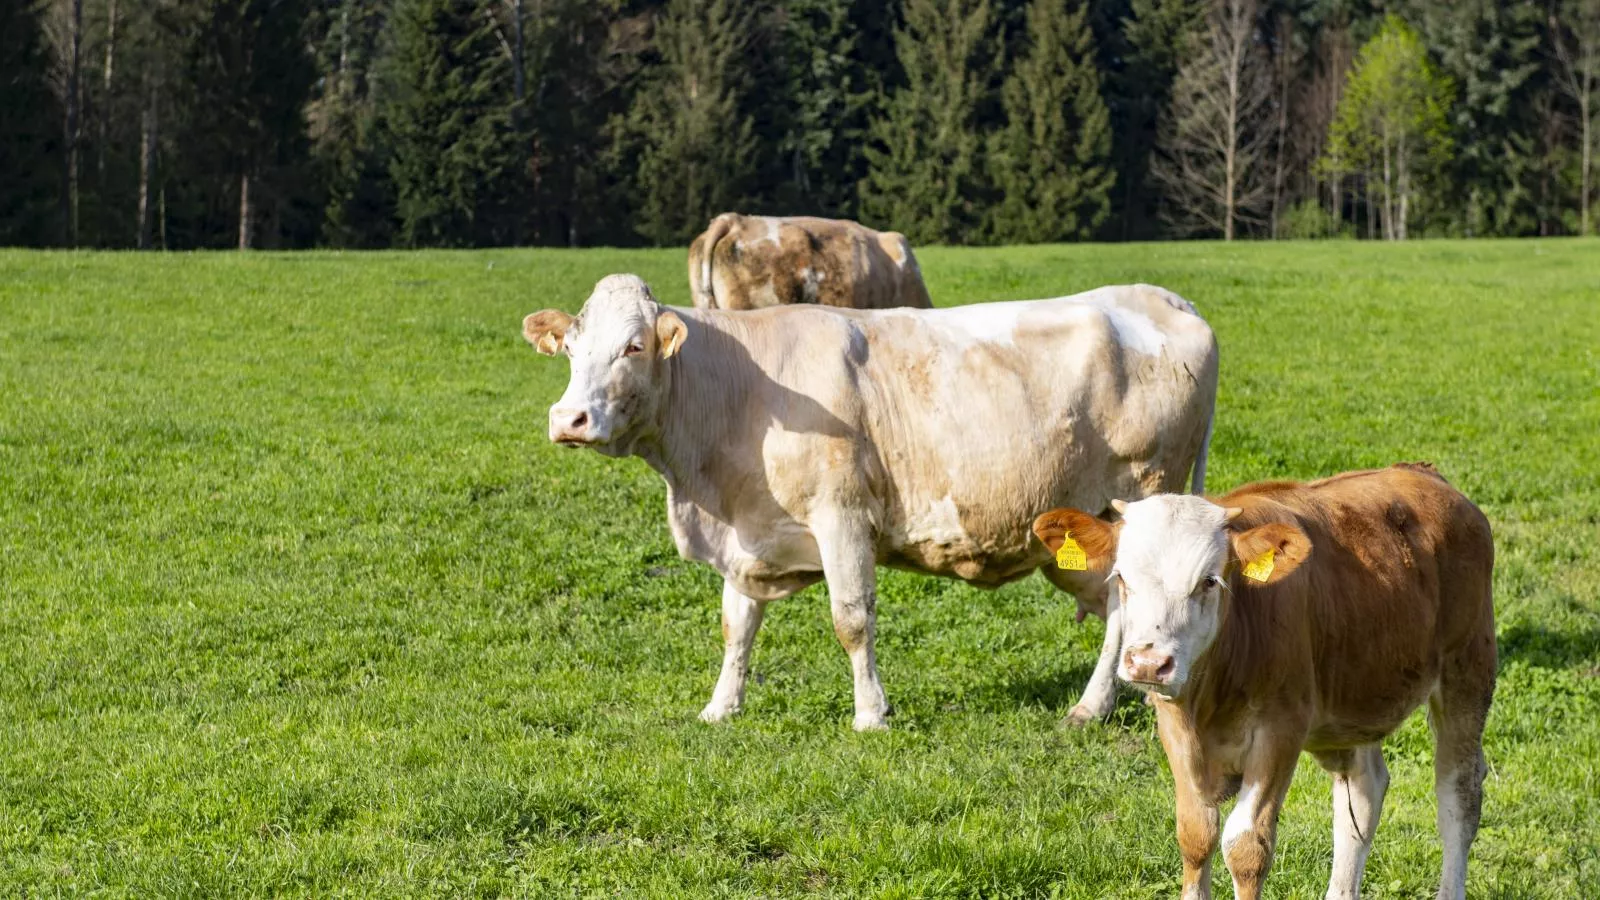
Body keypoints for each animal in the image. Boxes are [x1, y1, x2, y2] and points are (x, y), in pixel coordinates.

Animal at [521, 273, 1209, 730]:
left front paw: (871, 713)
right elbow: (737, 624)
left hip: (1142, 498)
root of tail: (1161, 296)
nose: (568, 419)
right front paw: (721, 707)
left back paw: (1091, 707)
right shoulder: (748, 533)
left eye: (634, 346)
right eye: (570, 347)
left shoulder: (842, 515)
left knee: (1126, 610)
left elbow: (851, 618)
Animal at [1030, 461, 1491, 896]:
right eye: (1121, 577)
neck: (1212, 698)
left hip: (1468, 670)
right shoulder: (1174, 728)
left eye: (1209, 581)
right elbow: (1196, 833)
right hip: (1352, 701)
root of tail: (1422, 474)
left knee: (1459, 797)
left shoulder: (1280, 733)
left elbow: (1246, 846)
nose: (1148, 663)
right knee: (1362, 794)